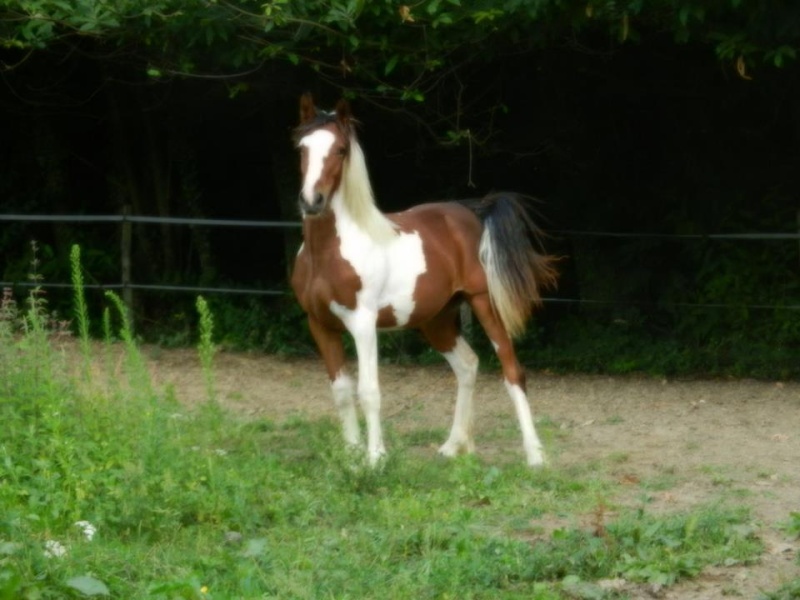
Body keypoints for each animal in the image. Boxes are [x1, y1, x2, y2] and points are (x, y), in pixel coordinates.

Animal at [290, 95, 560, 468]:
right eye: (302, 147)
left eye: (341, 150)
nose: (311, 201)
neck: (327, 254)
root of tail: (472, 211)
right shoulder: (320, 325)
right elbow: (342, 391)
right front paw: (352, 457)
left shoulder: (362, 323)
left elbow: (369, 391)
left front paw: (375, 460)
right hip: (437, 319)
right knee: (467, 366)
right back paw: (455, 445)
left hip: (483, 303)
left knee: (512, 371)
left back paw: (535, 456)